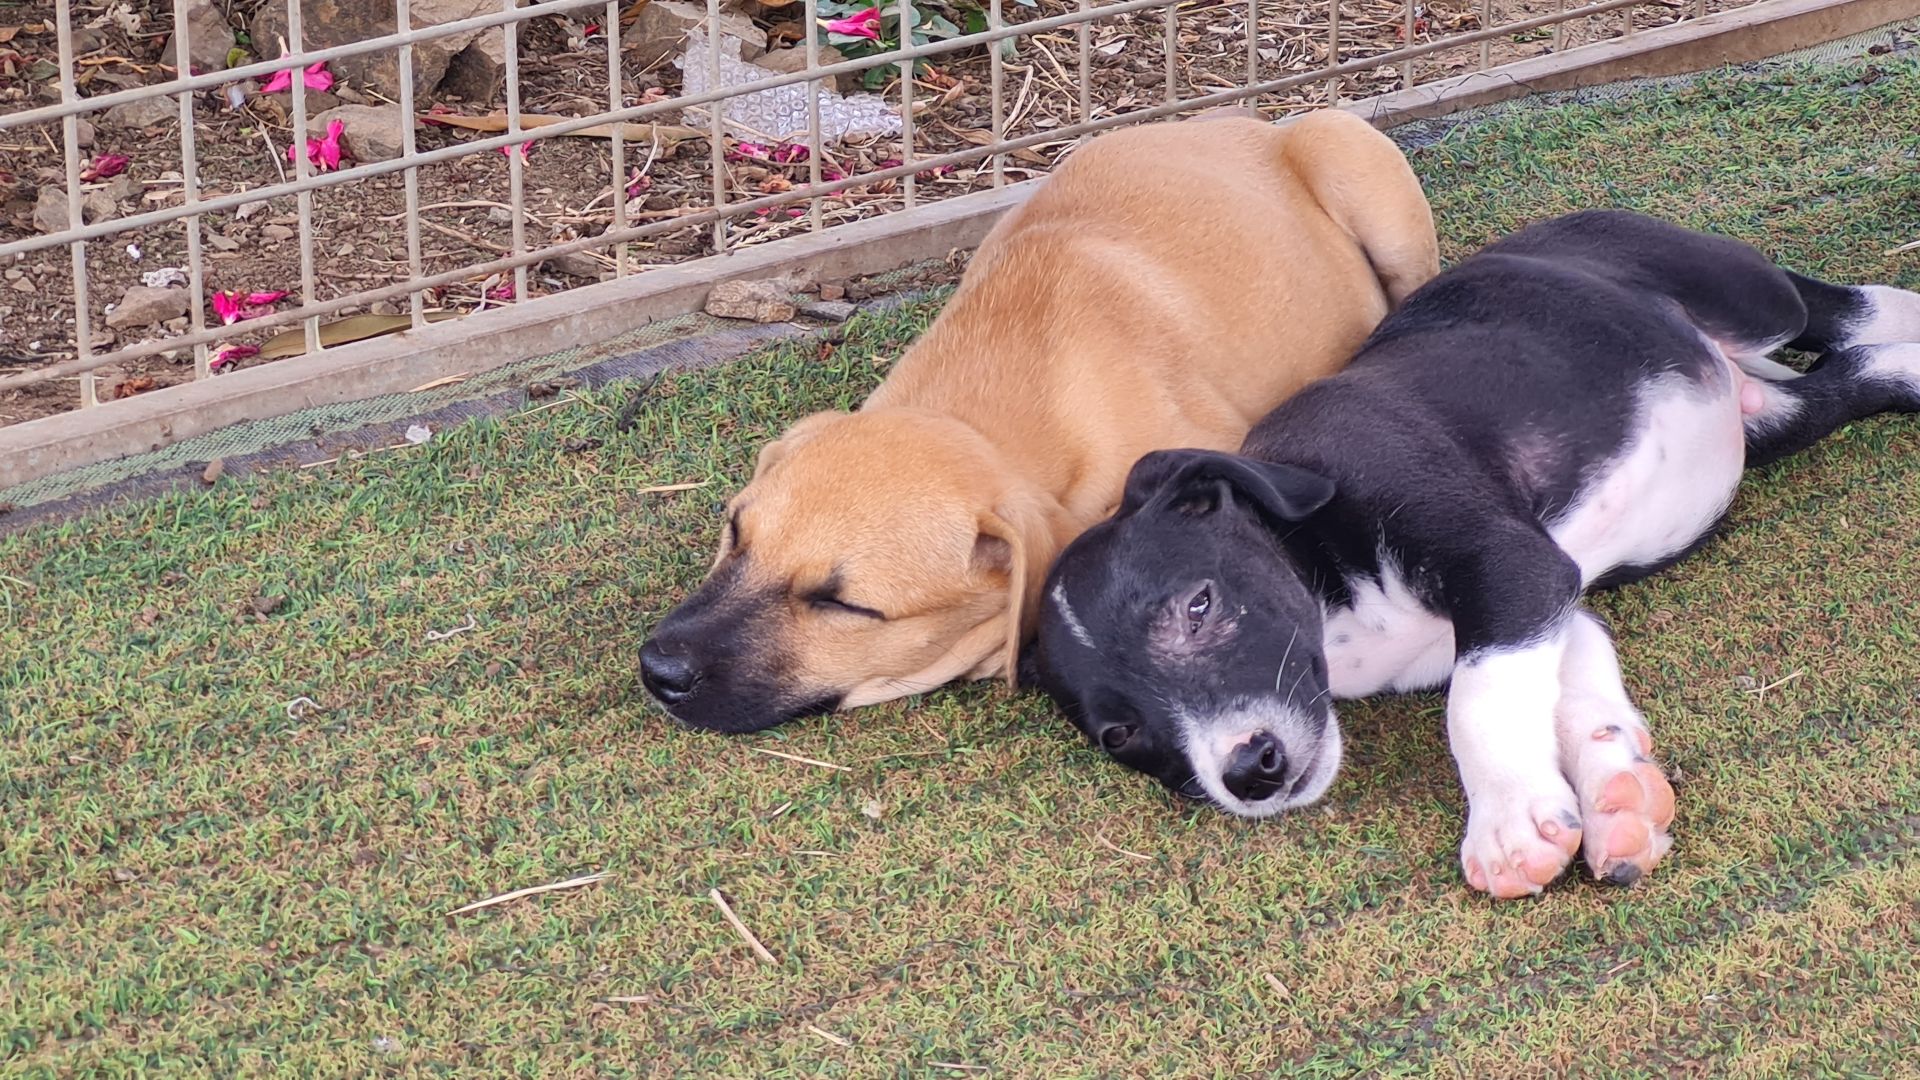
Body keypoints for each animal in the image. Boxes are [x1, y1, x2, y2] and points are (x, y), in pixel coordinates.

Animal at [645, 111, 1443, 730]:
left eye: (843, 604)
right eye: (735, 531)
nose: (658, 670)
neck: (994, 400)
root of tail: (1258, 125)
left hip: (1356, 164)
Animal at [1029, 208, 1920, 891]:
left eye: (1199, 605)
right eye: (1119, 736)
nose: (1249, 773)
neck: (1322, 590)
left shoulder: (1508, 567)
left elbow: (1475, 702)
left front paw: (1507, 824)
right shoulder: (1550, 600)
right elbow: (1566, 695)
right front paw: (1616, 797)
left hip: (1742, 291)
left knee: (1849, 307)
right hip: (1778, 421)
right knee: (1861, 370)